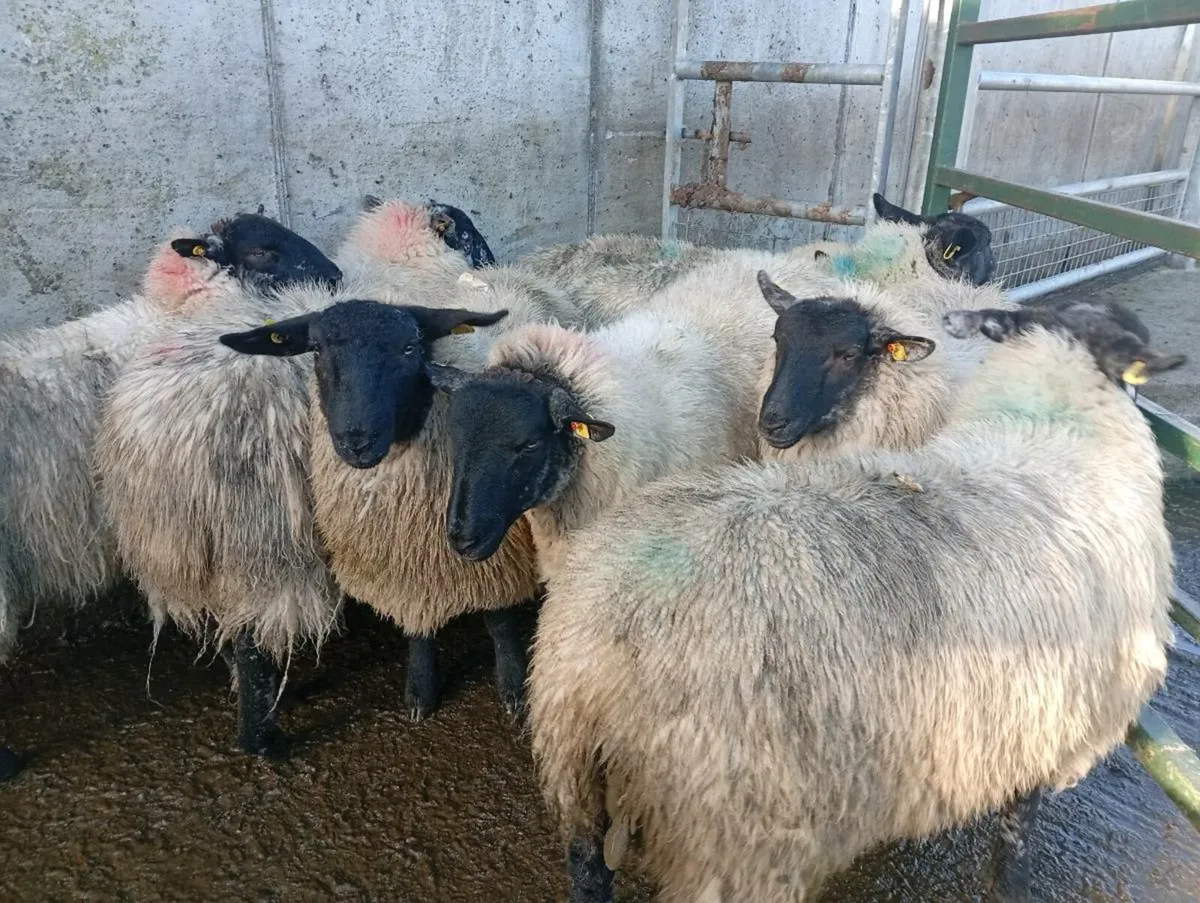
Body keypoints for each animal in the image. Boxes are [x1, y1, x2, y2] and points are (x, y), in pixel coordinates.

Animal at [529, 299, 1181, 903]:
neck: (1052, 422)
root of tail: (597, 654)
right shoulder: (1059, 724)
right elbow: (1013, 844)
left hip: (578, 782)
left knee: (588, 870)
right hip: (739, 836)